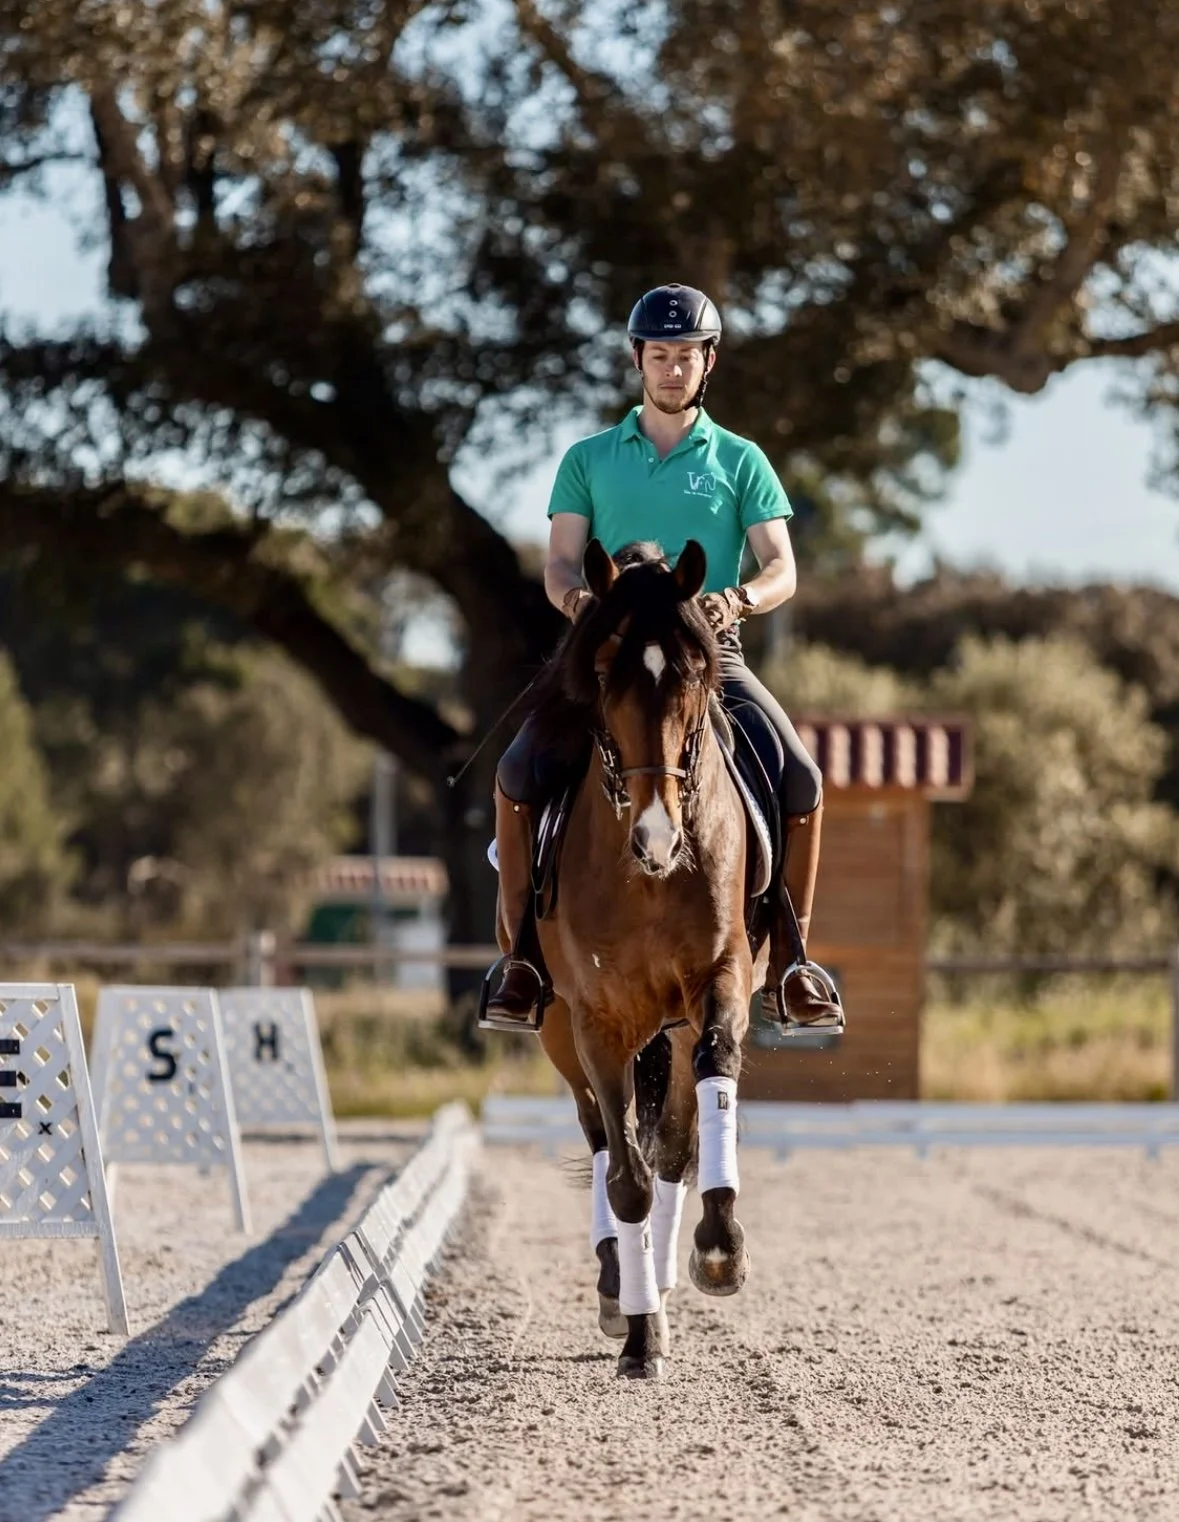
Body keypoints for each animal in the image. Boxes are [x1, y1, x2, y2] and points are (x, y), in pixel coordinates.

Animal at [505, 537, 770, 1380]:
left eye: (691, 674)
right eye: (602, 674)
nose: (657, 838)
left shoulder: (720, 980)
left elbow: (697, 1114)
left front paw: (718, 1251)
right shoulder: (596, 1020)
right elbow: (622, 1177)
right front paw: (639, 1332)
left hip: (674, 1029)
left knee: (677, 1144)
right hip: (559, 1032)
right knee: (600, 1138)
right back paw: (618, 1287)